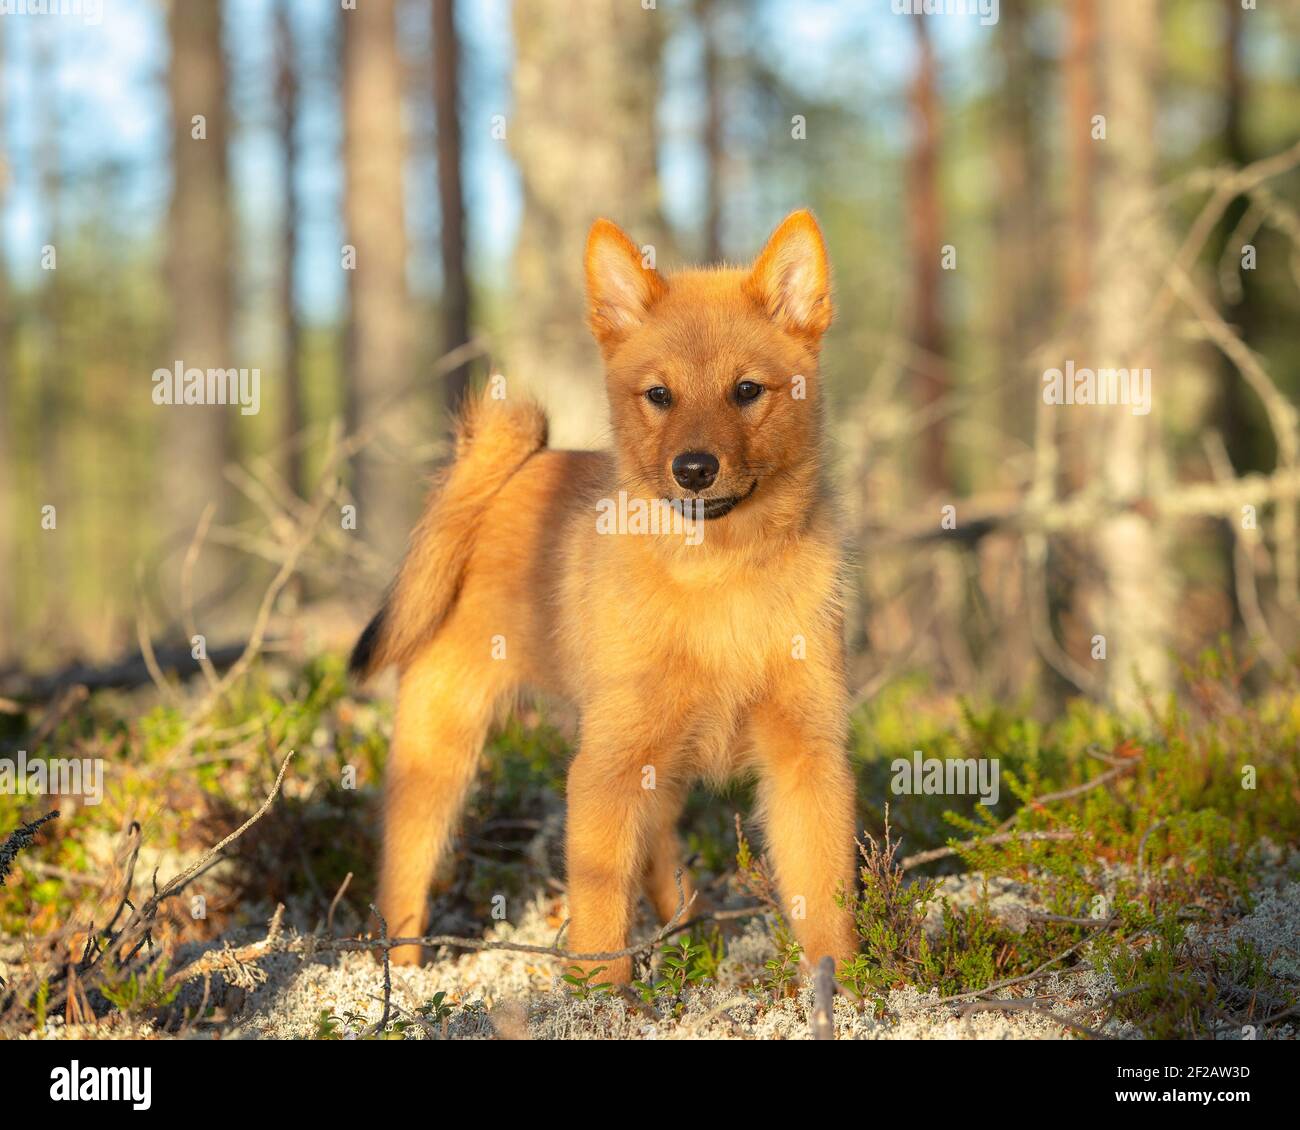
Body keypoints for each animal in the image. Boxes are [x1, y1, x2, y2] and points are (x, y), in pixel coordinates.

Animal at [351, 211, 857, 977]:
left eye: (747, 391)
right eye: (659, 396)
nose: (694, 469)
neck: (719, 576)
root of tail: (506, 473)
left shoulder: (807, 757)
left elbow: (827, 905)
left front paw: (859, 987)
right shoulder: (604, 771)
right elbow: (597, 923)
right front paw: (600, 995)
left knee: (657, 860)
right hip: (439, 750)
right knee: (403, 879)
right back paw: (401, 978)